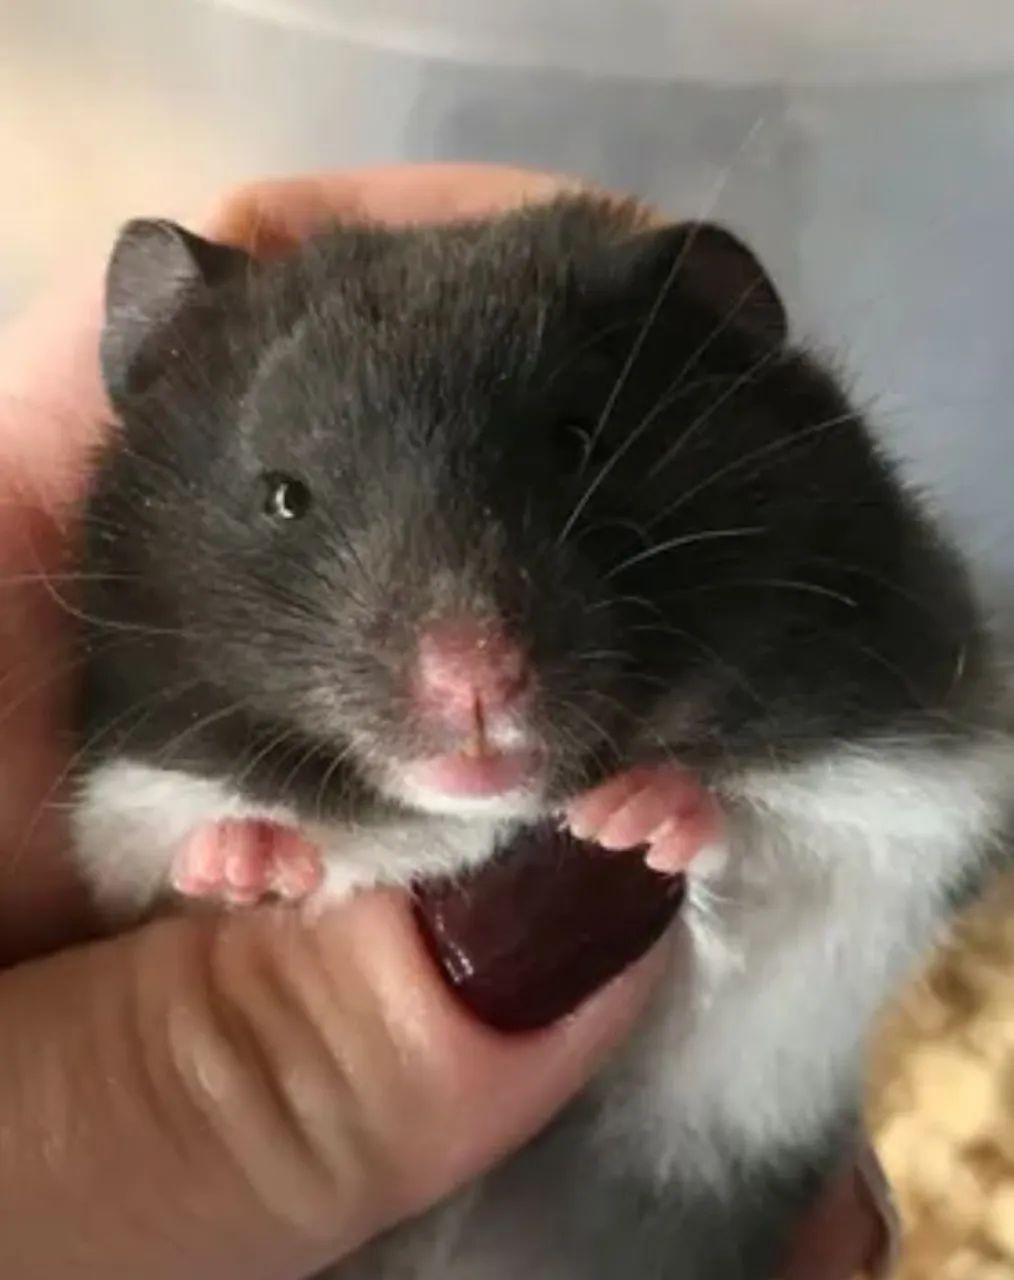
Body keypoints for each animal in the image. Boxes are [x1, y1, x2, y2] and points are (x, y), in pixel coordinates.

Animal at [71, 193, 1014, 1279]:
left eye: (577, 440)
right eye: (283, 495)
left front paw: (639, 816)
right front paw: (248, 861)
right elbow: (181, 855)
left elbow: (769, 851)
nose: (473, 678)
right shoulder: (126, 810)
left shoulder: (909, 793)